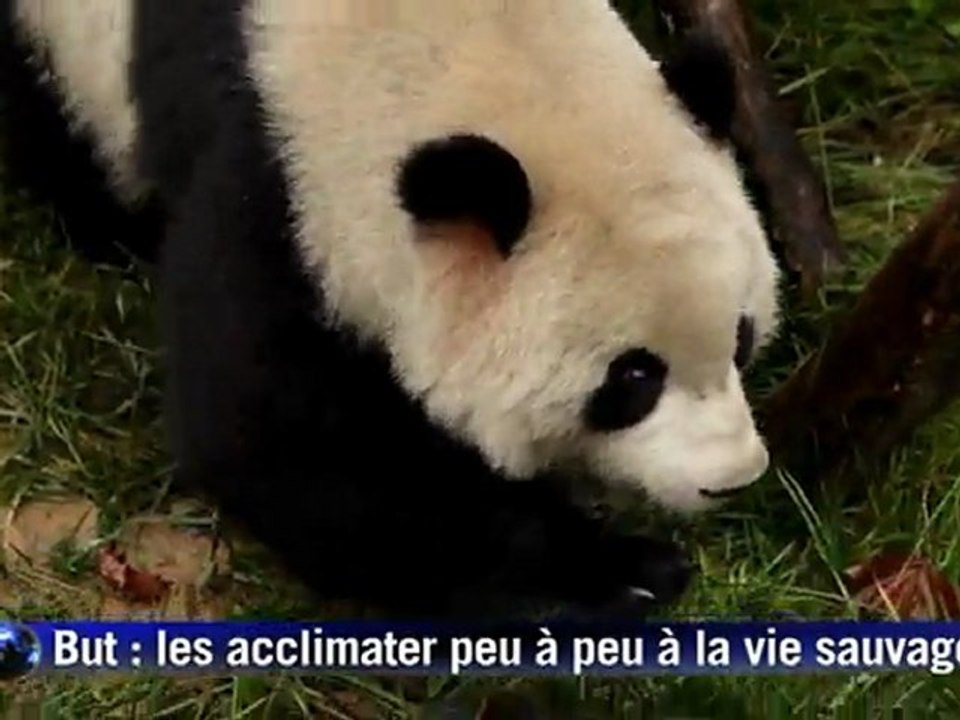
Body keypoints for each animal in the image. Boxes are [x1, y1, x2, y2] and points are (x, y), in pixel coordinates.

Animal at [0, 1, 781, 619]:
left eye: (741, 338)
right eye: (633, 378)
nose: (733, 477)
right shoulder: (273, 187)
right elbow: (282, 441)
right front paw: (609, 574)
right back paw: (109, 225)